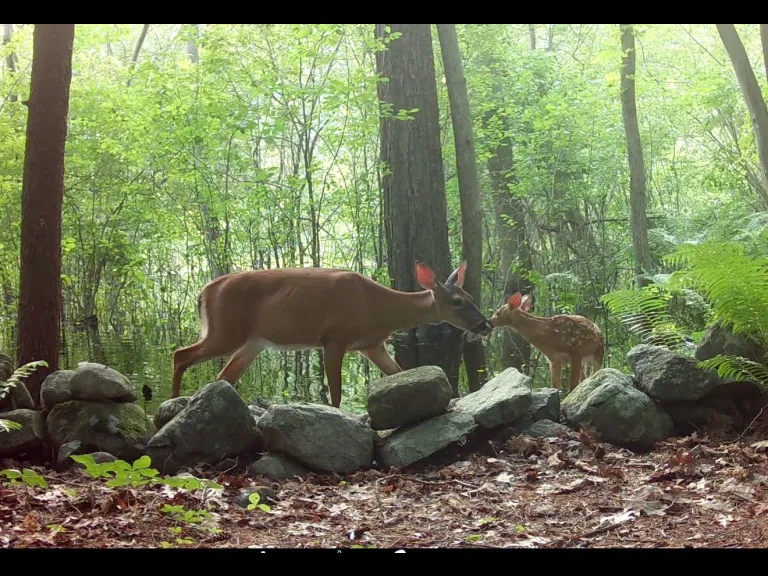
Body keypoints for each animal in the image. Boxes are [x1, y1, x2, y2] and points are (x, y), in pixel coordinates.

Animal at [170, 260, 493, 408]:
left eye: (471, 296)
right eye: (458, 301)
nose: (485, 325)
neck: (378, 308)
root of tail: (203, 292)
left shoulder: (372, 345)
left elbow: (398, 373)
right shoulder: (334, 338)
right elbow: (335, 393)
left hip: (253, 342)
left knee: (223, 375)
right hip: (225, 330)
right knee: (180, 354)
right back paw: (172, 403)